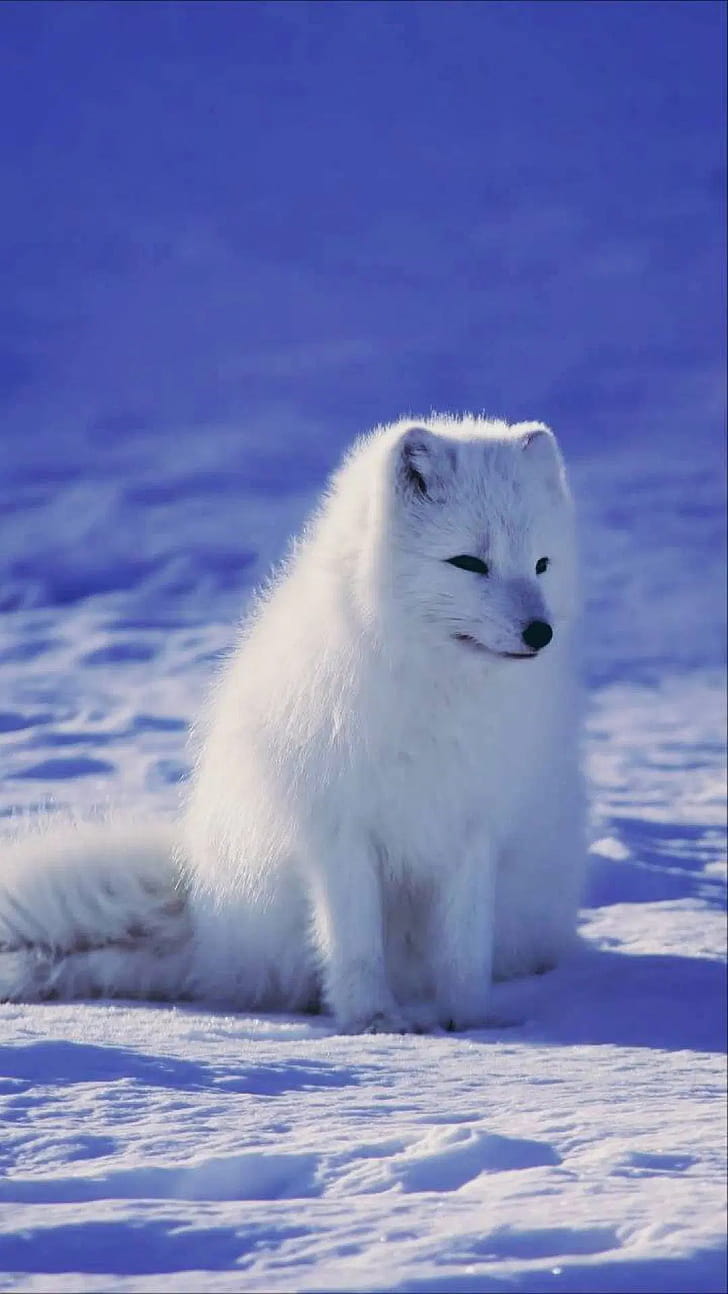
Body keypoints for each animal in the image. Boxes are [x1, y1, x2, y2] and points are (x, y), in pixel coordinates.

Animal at [0, 416, 585, 1033]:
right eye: (469, 563)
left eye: (542, 564)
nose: (540, 632)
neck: (437, 692)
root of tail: (204, 921)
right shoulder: (339, 831)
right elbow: (355, 945)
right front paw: (374, 1021)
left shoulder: (473, 829)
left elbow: (464, 949)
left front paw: (467, 1021)